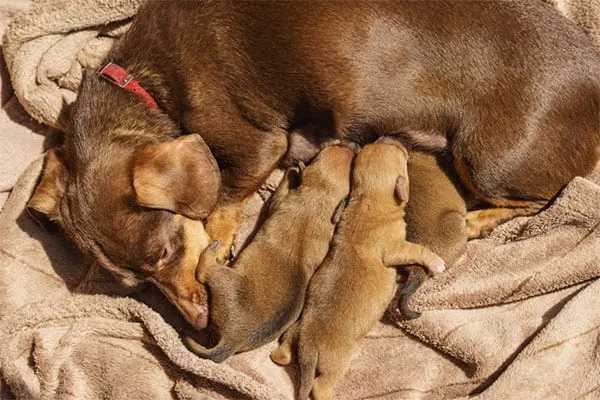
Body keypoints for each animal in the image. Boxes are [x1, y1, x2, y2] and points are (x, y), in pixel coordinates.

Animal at [185, 144, 356, 362]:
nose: (348, 145)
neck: (320, 197)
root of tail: (232, 341)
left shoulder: (279, 201)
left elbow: (281, 190)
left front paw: (292, 169)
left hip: (225, 278)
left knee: (204, 273)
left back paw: (212, 251)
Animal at [272, 139, 446, 398]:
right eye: (400, 154)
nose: (390, 138)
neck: (368, 198)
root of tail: (308, 348)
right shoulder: (396, 247)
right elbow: (418, 250)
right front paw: (437, 262)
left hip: (292, 334)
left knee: (282, 354)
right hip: (336, 363)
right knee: (320, 385)